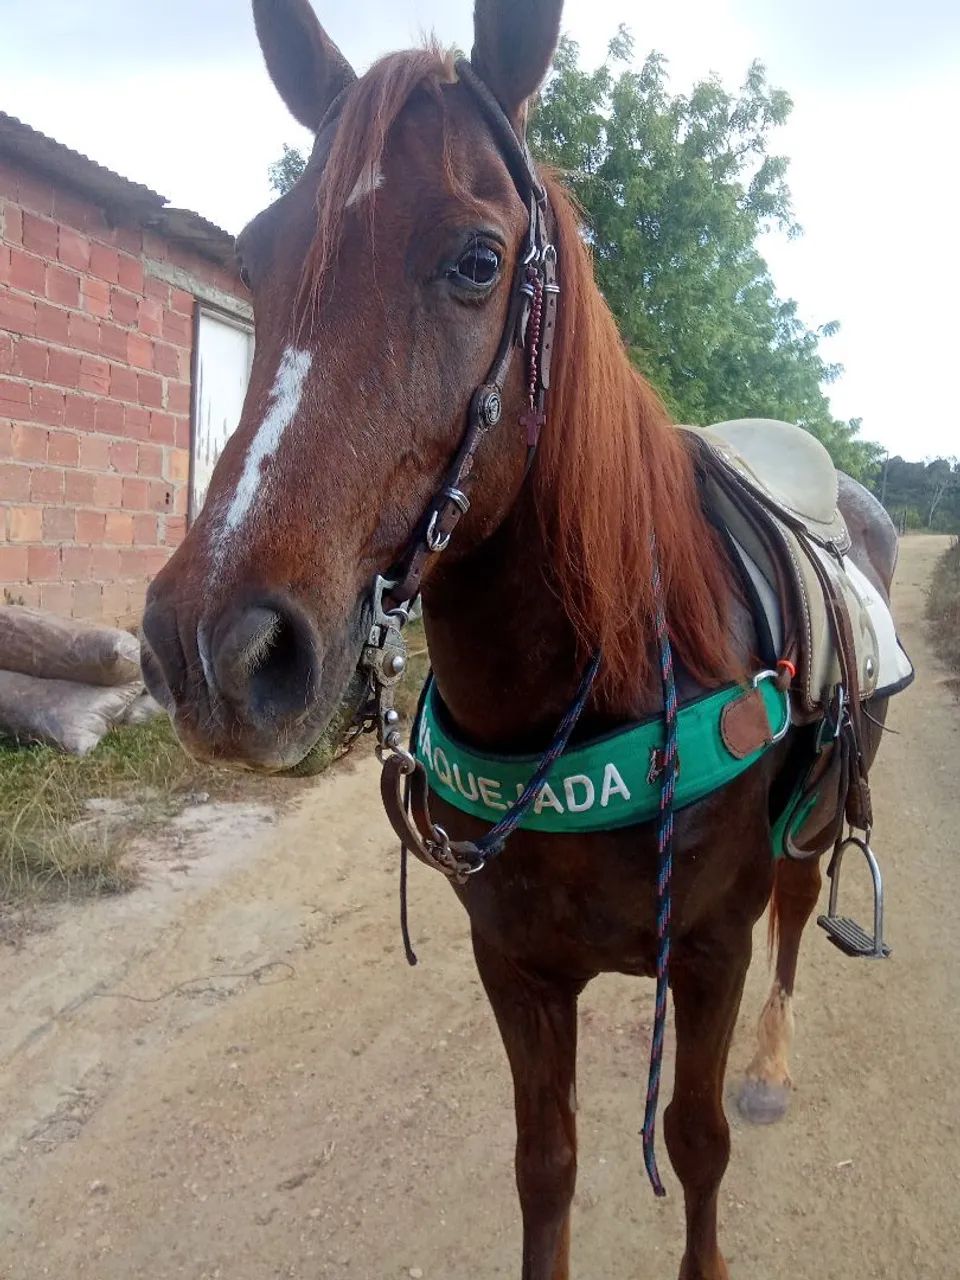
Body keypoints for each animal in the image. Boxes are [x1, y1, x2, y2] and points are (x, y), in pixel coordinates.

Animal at [140, 2, 899, 1276]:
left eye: (478, 260)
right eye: (255, 253)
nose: (214, 650)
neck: (608, 688)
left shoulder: (711, 951)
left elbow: (695, 1144)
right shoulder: (516, 967)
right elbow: (546, 1167)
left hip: (816, 821)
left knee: (801, 911)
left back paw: (773, 1065)